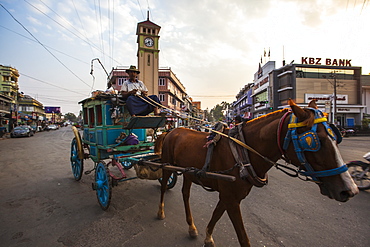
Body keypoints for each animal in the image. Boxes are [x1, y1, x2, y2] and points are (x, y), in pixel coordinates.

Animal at [154, 99, 358, 246]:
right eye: (314, 141)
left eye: (335, 137)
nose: (350, 190)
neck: (242, 153)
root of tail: (171, 131)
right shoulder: (231, 198)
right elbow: (243, 238)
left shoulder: (229, 197)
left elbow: (216, 215)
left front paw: (208, 237)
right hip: (167, 166)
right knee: (163, 186)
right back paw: (160, 211)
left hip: (189, 172)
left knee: (185, 194)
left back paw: (191, 226)